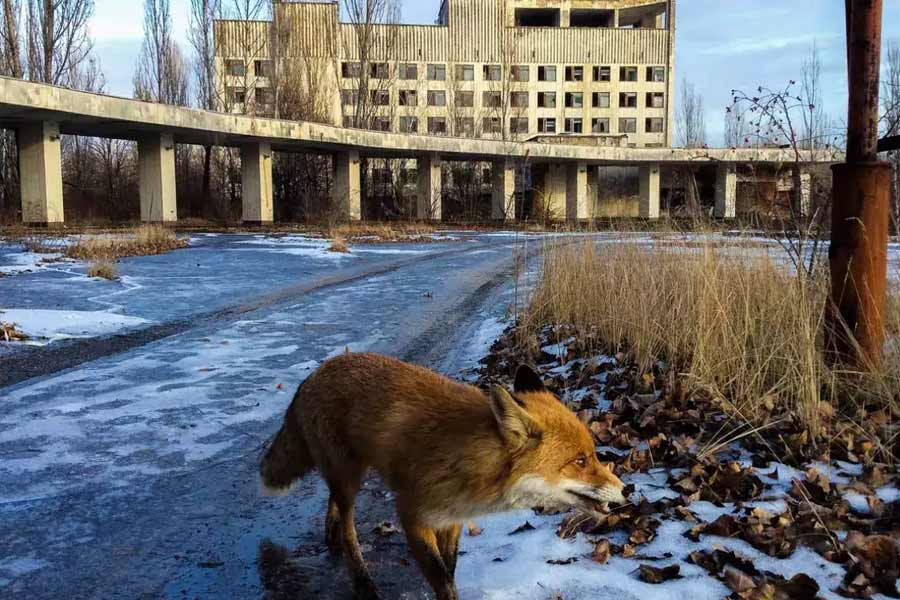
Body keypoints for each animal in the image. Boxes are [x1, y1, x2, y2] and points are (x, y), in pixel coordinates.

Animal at [258, 354, 624, 596]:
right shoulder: (413, 516)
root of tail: (315, 373)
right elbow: (443, 581)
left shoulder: (452, 517)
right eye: (580, 461)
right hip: (349, 477)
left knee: (333, 503)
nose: (627, 490)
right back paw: (361, 578)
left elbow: (450, 568)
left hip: (350, 474)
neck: (474, 464)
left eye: (593, 454)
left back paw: (330, 537)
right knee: (349, 528)